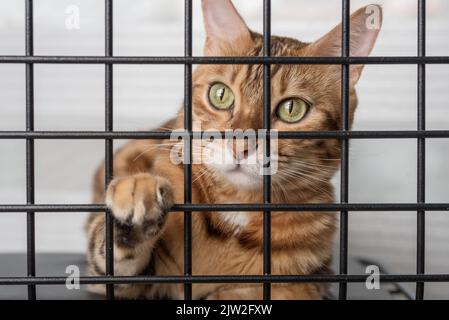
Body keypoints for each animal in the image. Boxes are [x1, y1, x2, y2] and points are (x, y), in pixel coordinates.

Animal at [85, 0, 382, 300]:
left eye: (292, 109)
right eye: (220, 94)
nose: (241, 145)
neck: (238, 208)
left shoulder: (308, 283)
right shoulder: (122, 281)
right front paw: (137, 195)